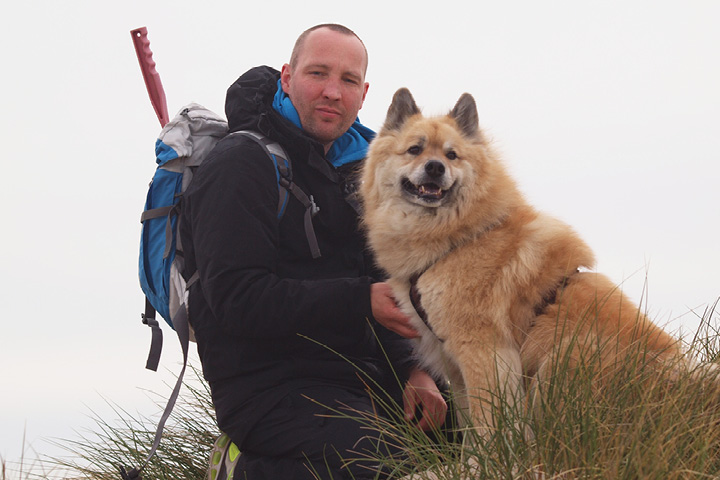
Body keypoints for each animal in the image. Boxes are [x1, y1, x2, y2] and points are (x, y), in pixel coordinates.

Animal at [360, 88, 688, 436]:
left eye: (452, 155)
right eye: (415, 149)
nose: (435, 167)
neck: (459, 238)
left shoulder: (483, 350)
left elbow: (488, 425)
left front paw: (492, 452)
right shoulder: (455, 363)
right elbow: (468, 426)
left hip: (564, 356)